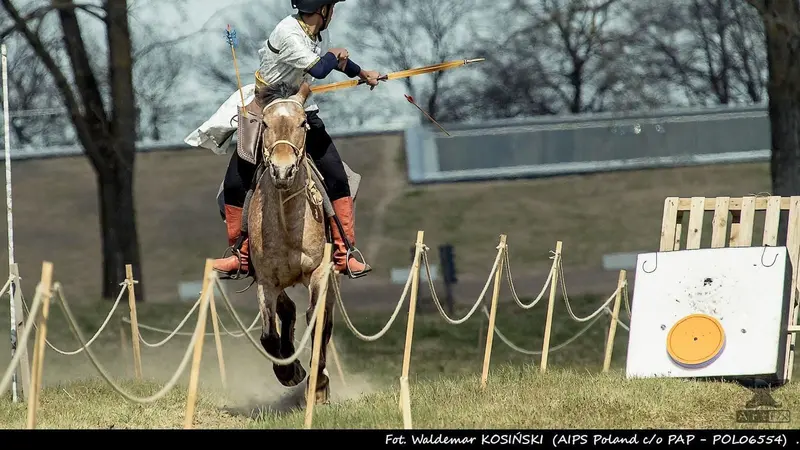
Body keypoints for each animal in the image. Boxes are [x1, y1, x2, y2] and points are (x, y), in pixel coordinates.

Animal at [247, 81, 338, 404]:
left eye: (302, 123)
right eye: (264, 124)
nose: (283, 170)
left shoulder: (320, 273)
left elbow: (318, 318)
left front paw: (318, 385)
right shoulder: (265, 281)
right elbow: (268, 335)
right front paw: (290, 371)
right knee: (286, 311)